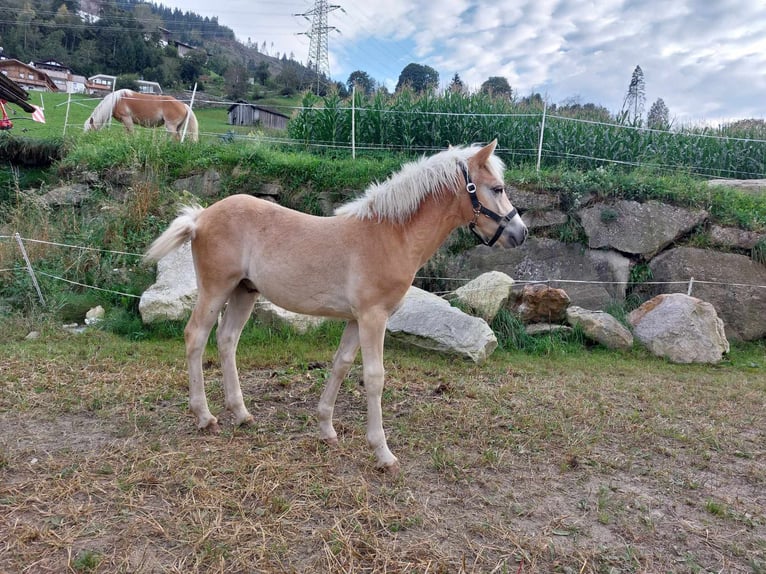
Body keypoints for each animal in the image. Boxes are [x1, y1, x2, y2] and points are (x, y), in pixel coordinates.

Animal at [144, 140, 528, 472]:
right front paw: (382, 453)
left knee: (227, 340)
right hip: (216, 289)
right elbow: (374, 377)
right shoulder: (374, 318)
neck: (391, 235)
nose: (521, 233)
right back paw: (205, 417)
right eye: (497, 188)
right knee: (196, 336)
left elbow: (341, 364)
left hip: (244, 292)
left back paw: (241, 413)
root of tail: (201, 216)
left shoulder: (356, 320)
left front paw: (326, 428)